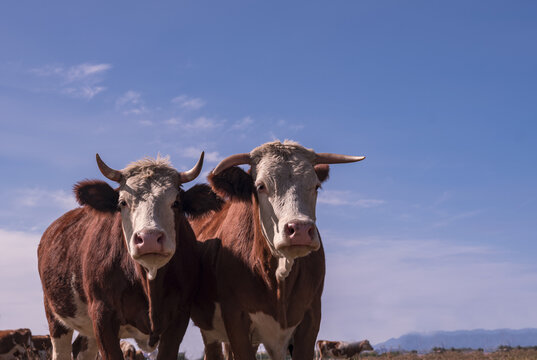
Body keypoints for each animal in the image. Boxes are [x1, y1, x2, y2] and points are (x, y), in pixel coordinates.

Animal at [38, 153, 222, 360]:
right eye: (122, 202)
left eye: (176, 202)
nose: (149, 238)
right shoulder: (102, 314)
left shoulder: (179, 316)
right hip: (55, 316)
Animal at [189, 141, 364, 360]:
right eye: (261, 186)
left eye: (316, 186)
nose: (300, 230)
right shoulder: (236, 320)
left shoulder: (311, 317)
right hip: (210, 331)